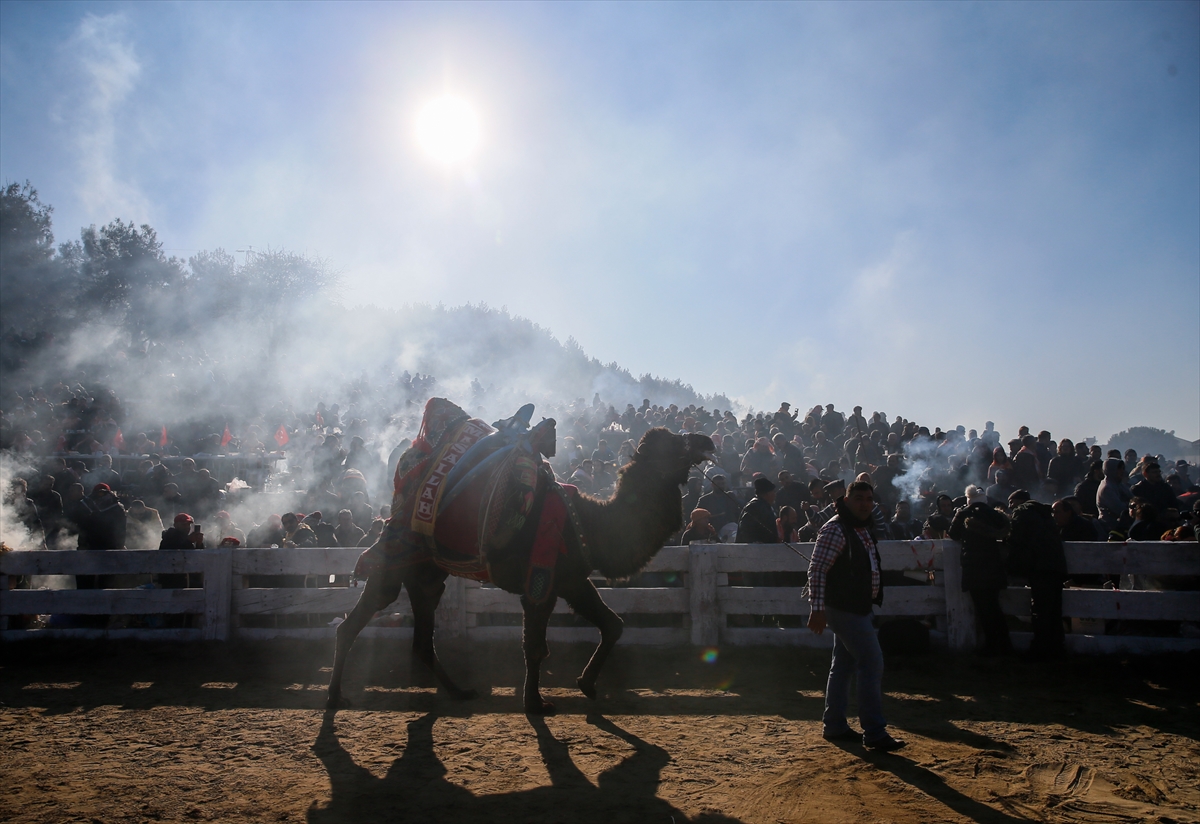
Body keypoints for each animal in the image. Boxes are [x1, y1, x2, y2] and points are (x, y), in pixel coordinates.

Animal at [328, 429, 710, 710]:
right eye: (674, 443)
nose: (706, 440)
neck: (590, 523)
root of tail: (392, 511)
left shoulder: (571, 581)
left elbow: (613, 625)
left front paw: (586, 685)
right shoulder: (540, 582)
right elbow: (536, 646)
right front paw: (535, 704)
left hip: (427, 578)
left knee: (422, 641)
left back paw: (460, 692)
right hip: (393, 565)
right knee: (350, 625)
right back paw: (335, 697)